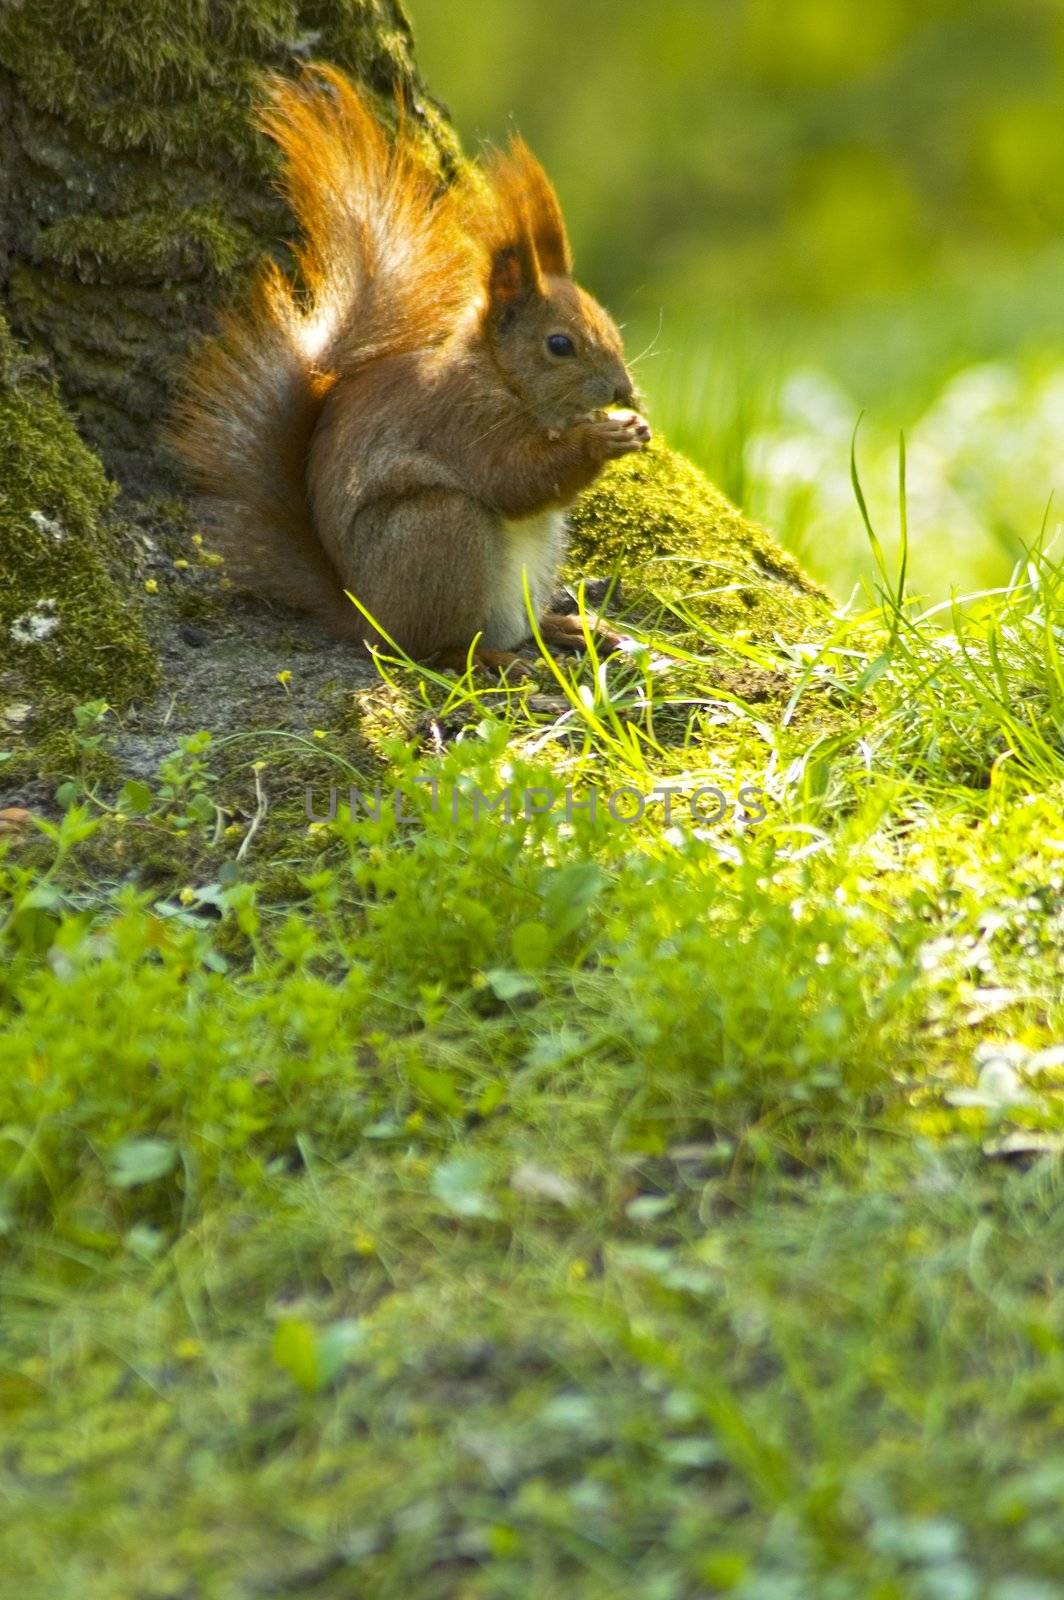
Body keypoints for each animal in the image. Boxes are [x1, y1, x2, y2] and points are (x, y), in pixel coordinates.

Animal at [167, 62, 652, 672]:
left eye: (609, 323)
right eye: (559, 345)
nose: (623, 391)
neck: (499, 377)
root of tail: (368, 615)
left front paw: (630, 425)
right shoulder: (461, 421)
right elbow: (513, 479)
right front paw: (601, 439)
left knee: (516, 623)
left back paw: (566, 625)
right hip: (439, 530)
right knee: (431, 647)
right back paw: (488, 656)